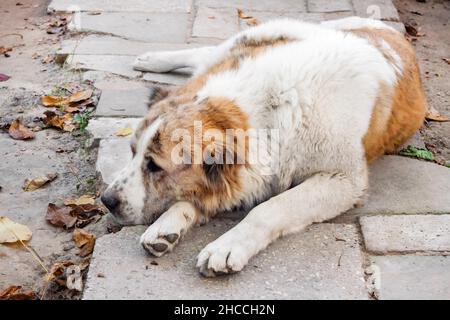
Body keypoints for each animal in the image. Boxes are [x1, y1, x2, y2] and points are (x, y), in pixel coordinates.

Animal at [100, 18, 428, 278]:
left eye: (154, 166)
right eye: (132, 152)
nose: (106, 200)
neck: (271, 106)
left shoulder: (344, 180)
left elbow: (270, 207)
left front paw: (226, 245)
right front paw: (170, 221)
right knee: (204, 53)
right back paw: (152, 58)